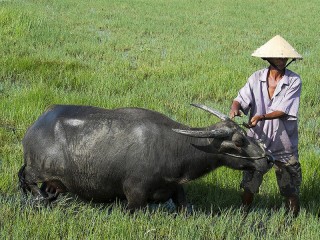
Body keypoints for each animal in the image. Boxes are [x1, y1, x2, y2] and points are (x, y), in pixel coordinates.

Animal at [18, 103, 272, 210]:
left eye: (246, 133)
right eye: (238, 141)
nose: (267, 159)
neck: (174, 147)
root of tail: (34, 127)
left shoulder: (176, 188)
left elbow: (183, 205)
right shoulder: (134, 195)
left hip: (55, 181)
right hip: (37, 169)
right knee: (26, 179)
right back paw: (40, 198)